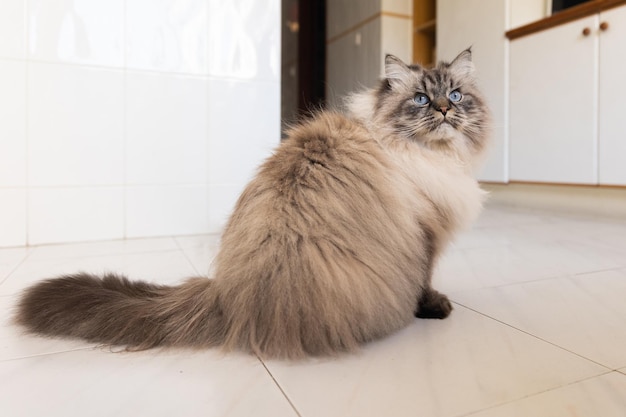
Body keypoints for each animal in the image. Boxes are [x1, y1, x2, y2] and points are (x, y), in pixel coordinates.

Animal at [14, 48, 490, 360]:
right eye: (422, 100)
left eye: (456, 96)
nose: (445, 111)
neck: (429, 155)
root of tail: (226, 296)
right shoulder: (425, 234)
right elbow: (424, 282)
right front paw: (434, 309)